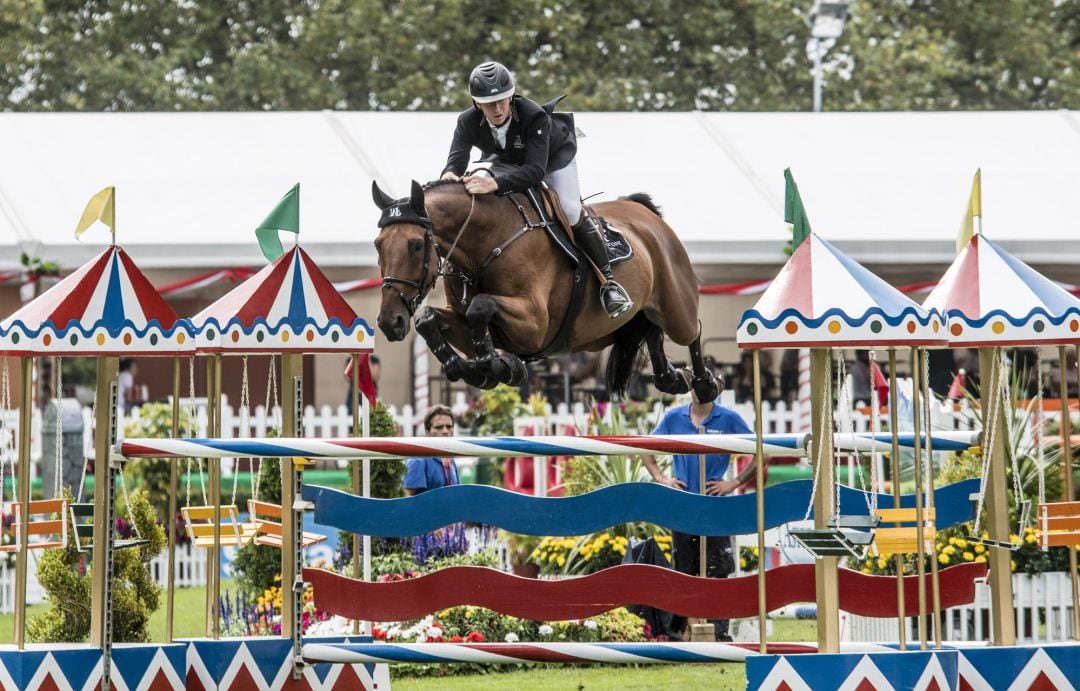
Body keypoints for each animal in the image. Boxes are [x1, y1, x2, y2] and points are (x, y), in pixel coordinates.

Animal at [371, 178, 717, 399]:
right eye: (378, 245)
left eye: (416, 245)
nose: (390, 322)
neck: (485, 243)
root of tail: (644, 213)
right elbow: (428, 317)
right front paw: (471, 367)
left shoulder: (535, 325)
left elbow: (480, 306)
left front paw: (498, 365)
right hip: (615, 327)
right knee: (649, 329)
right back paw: (673, 378)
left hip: (676, 308)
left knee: (692, 329)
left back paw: (705, 383)